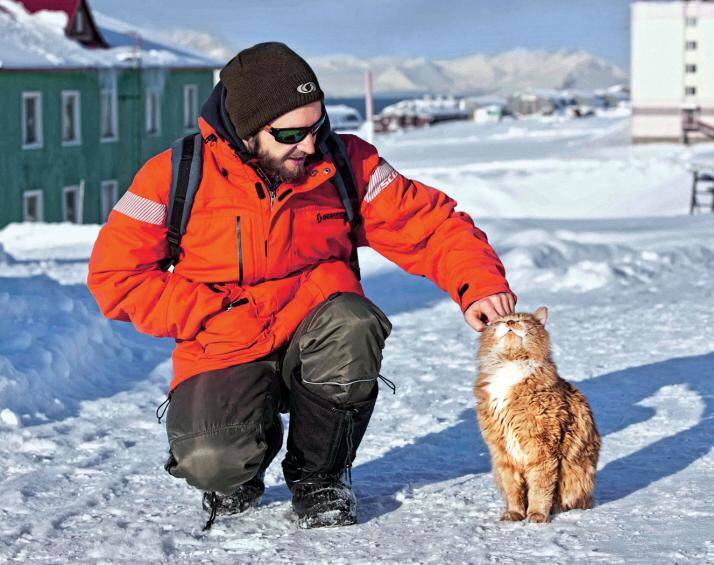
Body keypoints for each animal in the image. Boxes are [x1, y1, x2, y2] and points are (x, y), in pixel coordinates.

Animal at [472, 306, 600, 524]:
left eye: (522, 320)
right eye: (501, 321)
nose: (510, 323)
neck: (510, 366)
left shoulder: (542, 448)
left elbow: (540, 489)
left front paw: (537, 515)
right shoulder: (503, 453)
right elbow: (513, 490)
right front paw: (514, 513)